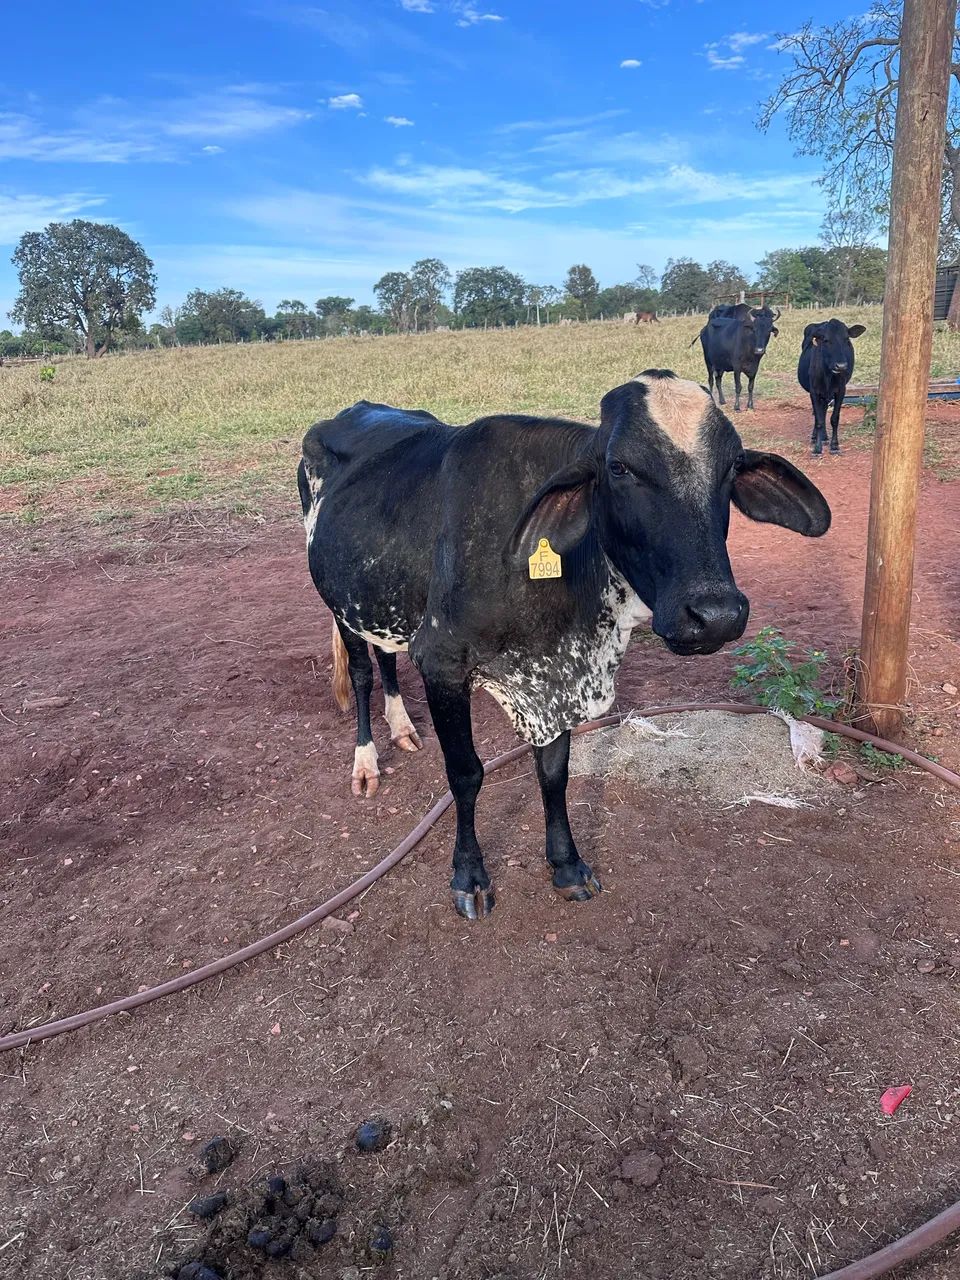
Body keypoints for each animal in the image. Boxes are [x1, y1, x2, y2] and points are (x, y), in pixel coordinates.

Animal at [298, 372, 830, 920]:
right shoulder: (441, 663)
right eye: (619, 467)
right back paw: (366, 762)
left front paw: (567, 865)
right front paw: (469, 876)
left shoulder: (555, 681)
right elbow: (466, 774)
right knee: (363, 671)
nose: (716, 614)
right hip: (338, 604)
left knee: (385, 655)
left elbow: (554, 773)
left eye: (731, 467)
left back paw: (403, 727)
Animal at [797, 318, 867, 455]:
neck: (828, 376)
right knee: (818, 414)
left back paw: (824, 437)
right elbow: (818, 420)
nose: (841, 366)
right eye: (826, 340)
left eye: (847, 339)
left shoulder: (840, 391)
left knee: (823, 411)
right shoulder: (814, 391)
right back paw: (816, 437)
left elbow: (834, 418)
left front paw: (834, 446)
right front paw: (817, 448)